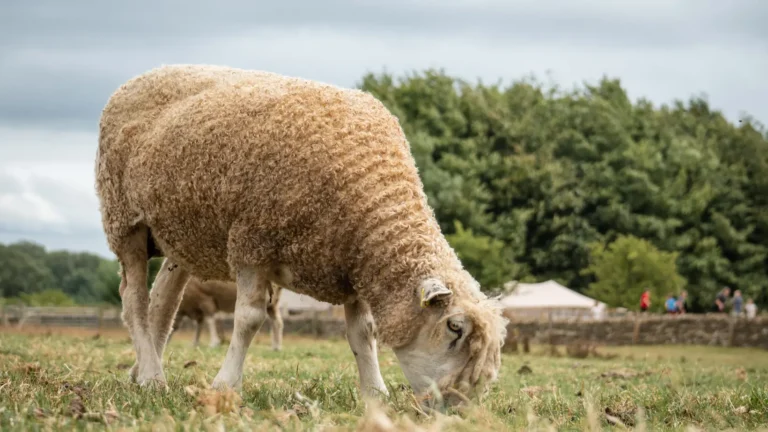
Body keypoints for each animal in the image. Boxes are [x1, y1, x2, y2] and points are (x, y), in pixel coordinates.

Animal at [95, 64, 508, 406]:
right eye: (454, 328)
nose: (459, 408)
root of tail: (139, 78)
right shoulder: (252, 242)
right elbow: (249, 319)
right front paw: (225, 385)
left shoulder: (351, 267)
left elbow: (364, 334)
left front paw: (374, 392)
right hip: (125, 221)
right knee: (134, 300)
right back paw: (152, 376)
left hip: (181, 234)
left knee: (162, 302)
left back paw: (142, 373)